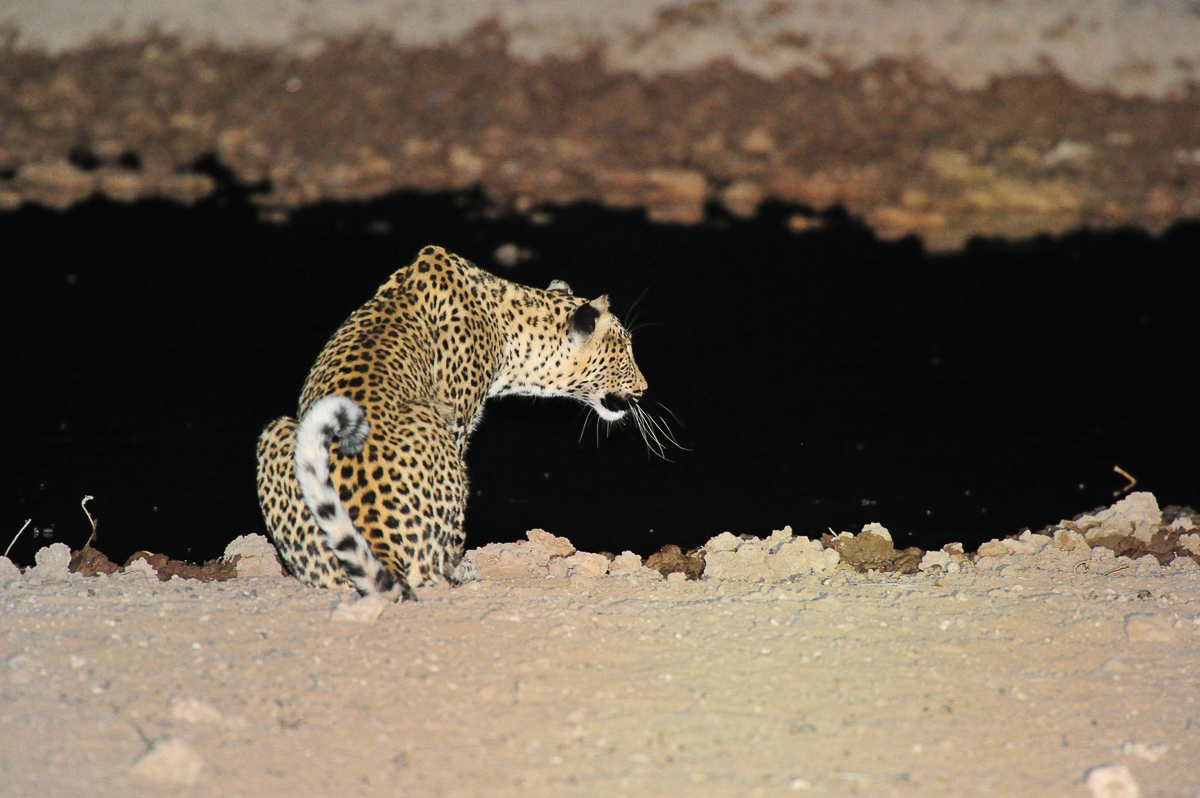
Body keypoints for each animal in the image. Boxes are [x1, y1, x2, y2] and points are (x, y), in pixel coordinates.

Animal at [255, 244, 656, 600]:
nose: (644, 389)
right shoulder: (457, 420)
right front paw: (460, 563)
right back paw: (456, 570)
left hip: (278, 430)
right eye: (624, 349)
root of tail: (381, 548)